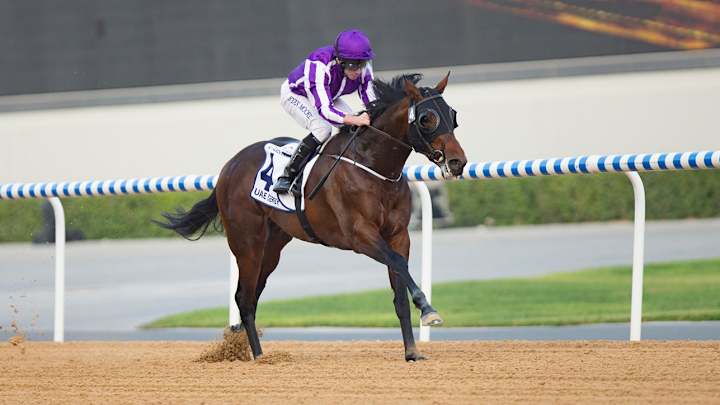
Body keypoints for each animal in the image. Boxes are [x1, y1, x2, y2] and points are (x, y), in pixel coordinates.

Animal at [158, 73, 467, 361]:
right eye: (426, 119)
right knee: (244, 298)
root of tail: (229, 166)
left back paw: (250, 350)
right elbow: (399, 264)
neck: (373, 167)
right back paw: (258, 356)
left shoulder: (398, 235)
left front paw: (412, 351)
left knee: (252, 296)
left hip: (272, 247)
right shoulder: (360, 236)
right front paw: (428, 310)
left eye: (452, 115)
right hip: (247, 244)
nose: (457, 162)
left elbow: (399, 285)